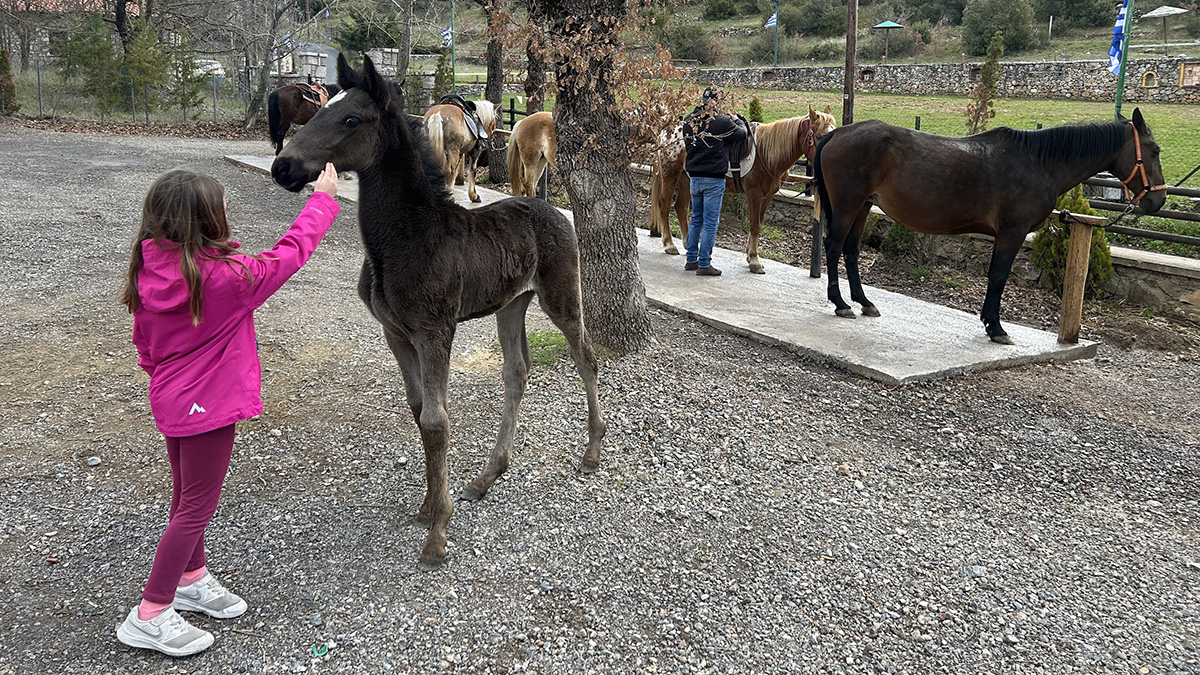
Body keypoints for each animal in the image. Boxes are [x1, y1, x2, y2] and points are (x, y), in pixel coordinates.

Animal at [271, 54, 606, 571]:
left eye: (351, 119)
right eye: (322, 107)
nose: (283, 166)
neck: (406, 238)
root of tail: (552, 210)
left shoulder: (435, 330)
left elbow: (436, 420)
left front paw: (437, 536)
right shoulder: (396, 333)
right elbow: (418, 410)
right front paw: (429, 506)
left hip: (561, 295)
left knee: (586, 357)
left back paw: (591, 452)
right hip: (511, 305)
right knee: (517, 371)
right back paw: (486, 477)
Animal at [649, 106, 837, 273]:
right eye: (819, 136)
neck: (766, 154)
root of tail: (666, 132)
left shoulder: (767, 196)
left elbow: (758, 223)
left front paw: (750, 255)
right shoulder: (754, 194)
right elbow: (754, 225)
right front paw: (754, 260)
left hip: (687, 179)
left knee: (681, 207)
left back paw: (689, 245)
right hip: (671, 174)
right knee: (664, 205)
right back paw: (669, 244)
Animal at [813, 109, 1167, 344]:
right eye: (1154, 150)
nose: (1158, 200)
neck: (1039, 163)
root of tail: (835, 134)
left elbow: (995, 277)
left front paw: (989, 322)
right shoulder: (1013, 232)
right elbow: (998, 277)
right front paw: (995, 328)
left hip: (863, 206)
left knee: (851, 250)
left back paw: (864, 302)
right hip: (848, 206)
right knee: (834, 246)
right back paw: (841, 304)